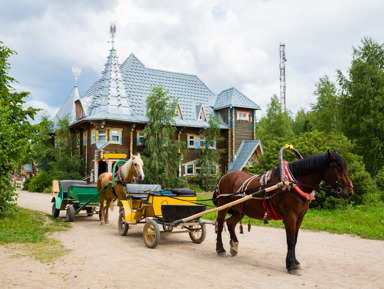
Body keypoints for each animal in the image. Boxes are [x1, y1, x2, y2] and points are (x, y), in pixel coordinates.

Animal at [213, 150, 354, 274]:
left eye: (346, 169)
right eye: (338, 168)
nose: (349, 192)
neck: (292, 184)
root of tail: (224, 176)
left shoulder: (300, 218)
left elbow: (295, 240)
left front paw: (295, 262)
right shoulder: (290, 217)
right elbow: (290, 240)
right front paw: (291, 265)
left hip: (239, 210)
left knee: (230, 223)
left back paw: (234, 246)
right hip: (223, 206)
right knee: (220, 224)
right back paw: (220, 249)